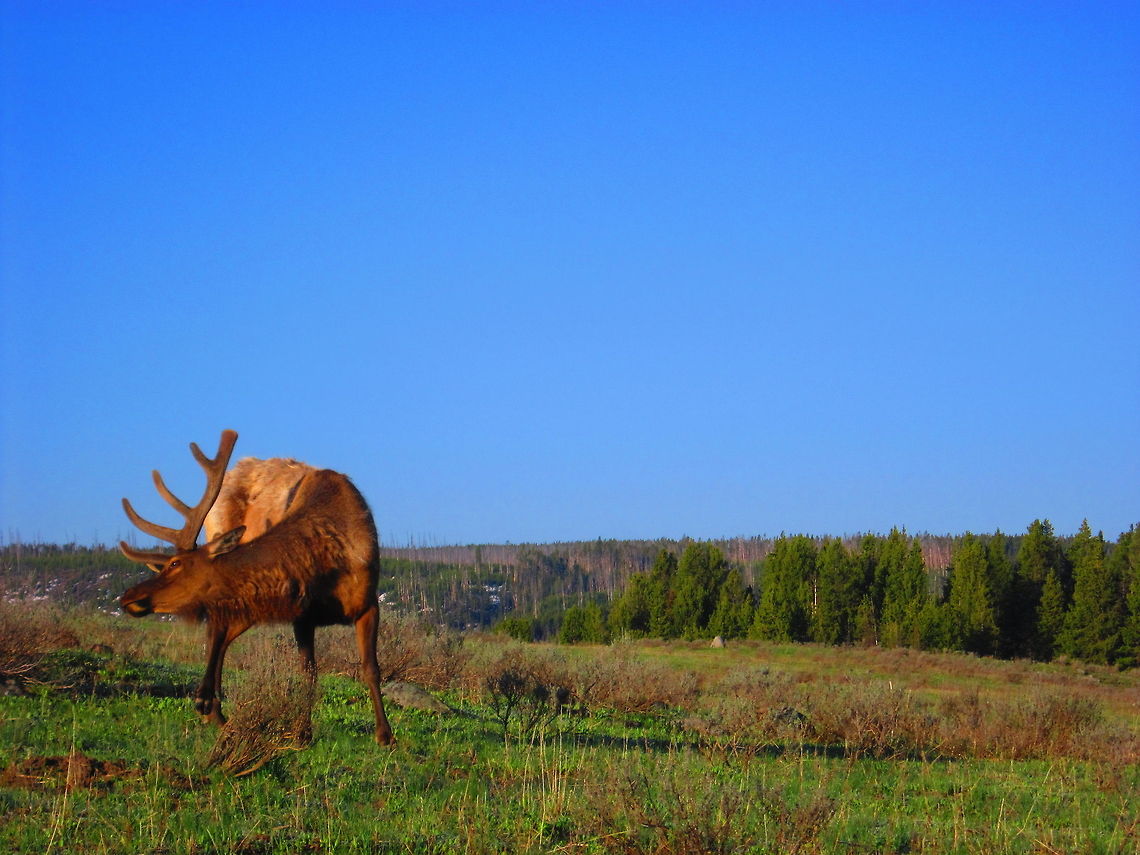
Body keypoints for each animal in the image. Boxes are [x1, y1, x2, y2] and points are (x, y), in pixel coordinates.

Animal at [118, 430, 395, 746]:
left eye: (175, 564)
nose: (129, 596)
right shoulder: (302, 615)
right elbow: (308, 673)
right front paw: (303, 732)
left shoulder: (366, 604)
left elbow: (370, 668)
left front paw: (385, 735)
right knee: (217, 632)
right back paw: (210, 705)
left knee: (222, 635)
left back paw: (212, 708)